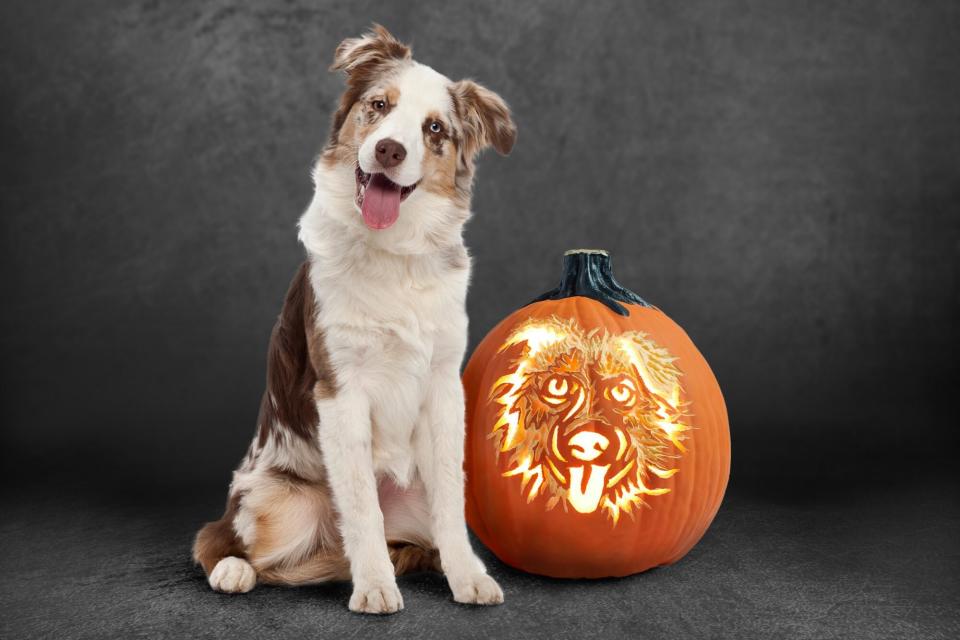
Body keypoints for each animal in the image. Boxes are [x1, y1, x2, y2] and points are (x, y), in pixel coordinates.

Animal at [189, 26, 516, 616]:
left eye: (435, 128)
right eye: (379, 106)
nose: (389, 149)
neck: (393, 255)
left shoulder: (442, 385)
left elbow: (450, 506)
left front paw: (467, 577)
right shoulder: (340, 390)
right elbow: (362, 506)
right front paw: (375, 587)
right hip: (279, 505)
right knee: (220, 539)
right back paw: (233, 569)